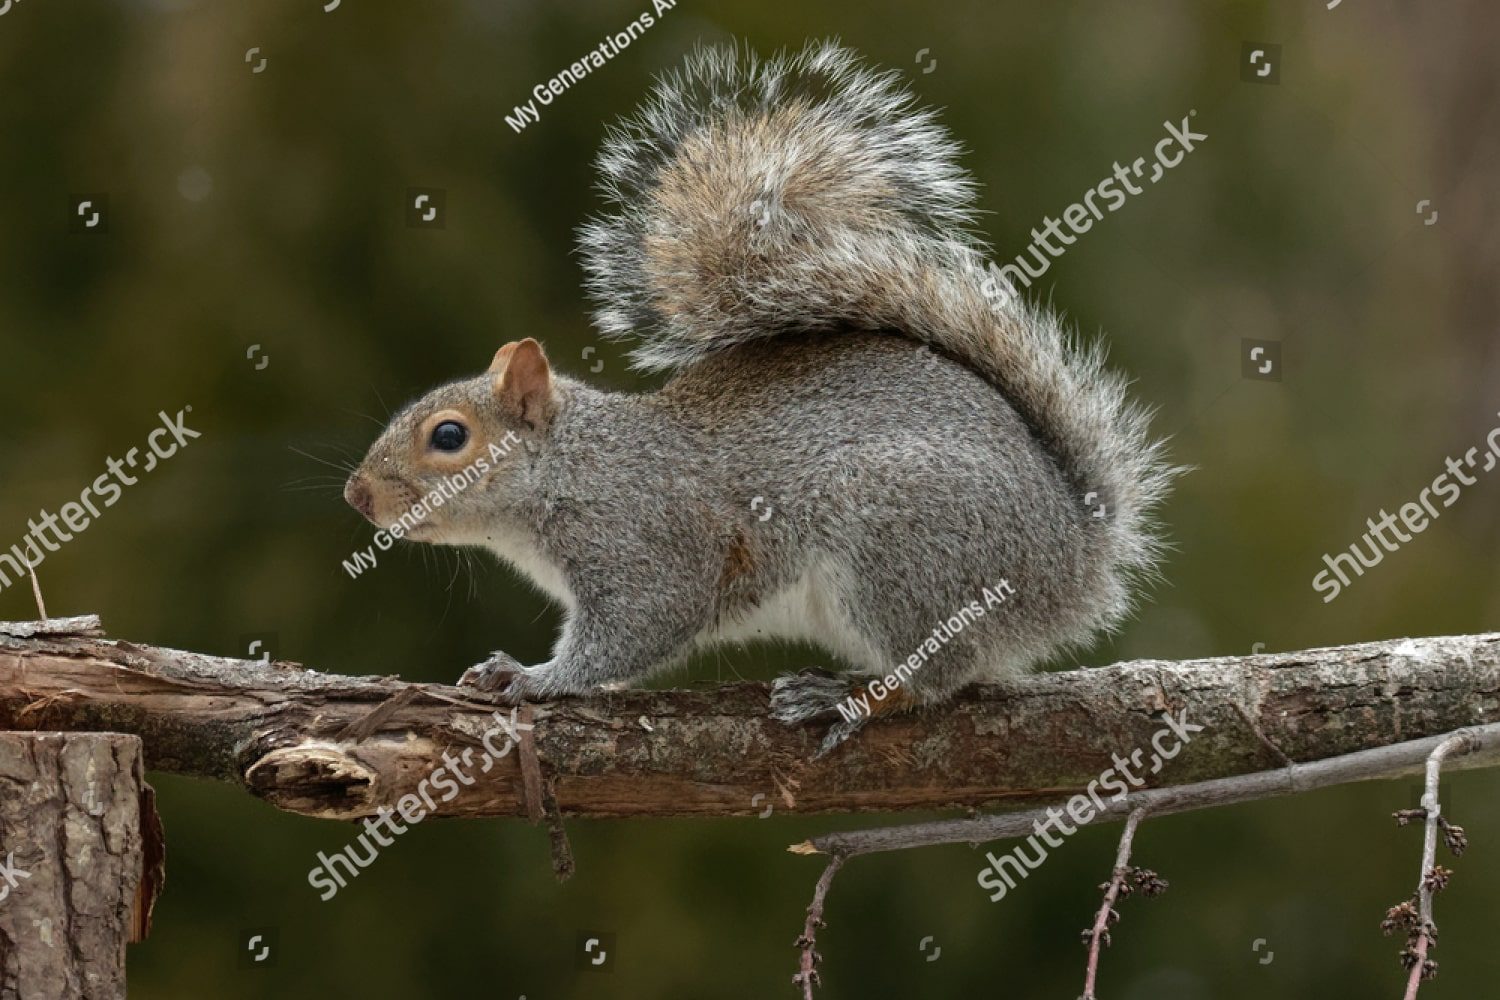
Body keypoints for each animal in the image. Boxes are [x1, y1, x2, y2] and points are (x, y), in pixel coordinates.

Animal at [344, 41, 1177, 754]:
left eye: (449, 437)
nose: (357, 496)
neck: (569, 469)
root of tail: (1073, 564)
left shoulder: (646, 544)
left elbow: (634, 631)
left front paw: (537, 677)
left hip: (903, 544)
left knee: (938, 671)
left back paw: (852, 698)